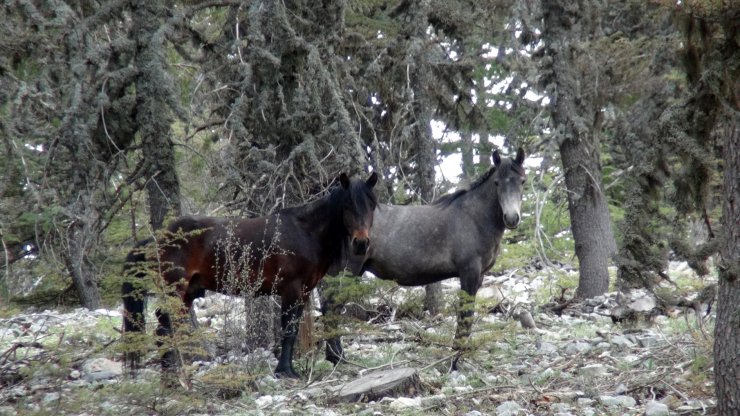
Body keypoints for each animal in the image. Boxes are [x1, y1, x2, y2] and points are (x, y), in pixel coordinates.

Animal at [123, 171, 378, 378]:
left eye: (371, 205)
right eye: (347, 206)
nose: (361, 243)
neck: (305, 233)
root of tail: (157, 239)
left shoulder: (304, 292)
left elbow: (293, 329)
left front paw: (289, 369)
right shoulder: (291, 290)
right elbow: (287, 330)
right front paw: (284, 371)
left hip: (187, 294)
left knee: (164, 329)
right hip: (175, 291)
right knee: (164, 329)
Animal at [324, 148, 528, 368]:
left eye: (522, 181)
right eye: (497, 183)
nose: (511, 218)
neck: (473, 218)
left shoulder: (479, 275)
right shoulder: (469, 272)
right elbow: (464, 316)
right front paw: (455, 359)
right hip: (347, 271)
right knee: (331, 308)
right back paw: (336, 358)